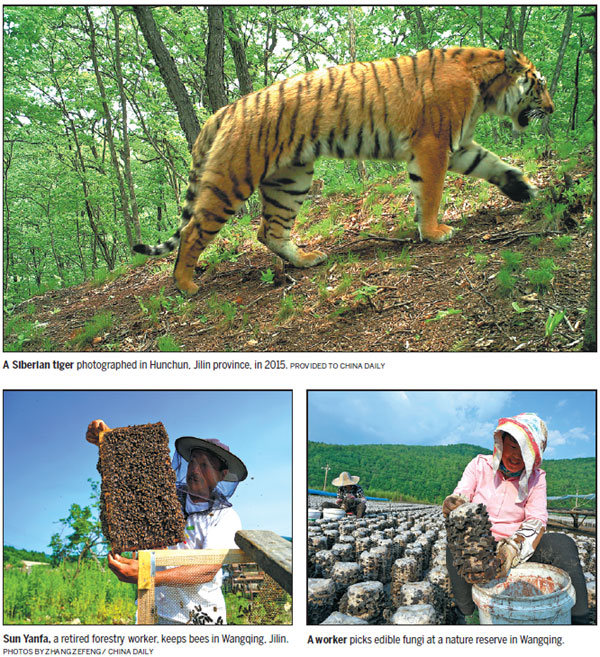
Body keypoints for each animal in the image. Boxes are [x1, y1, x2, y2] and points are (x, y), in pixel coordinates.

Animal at [135, 46, 552, 292]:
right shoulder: (433, 144)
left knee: (269, 230)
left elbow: (493, 163)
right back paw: (185, 285)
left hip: (291, 178)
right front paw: (435, 232)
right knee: (193, 232)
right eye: (539, 85)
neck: (484, 88)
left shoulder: (458, 145)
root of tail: (223, 111)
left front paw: (526, 189)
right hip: (233, 180)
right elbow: (431, 193)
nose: (550, 108)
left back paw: (306, 260)